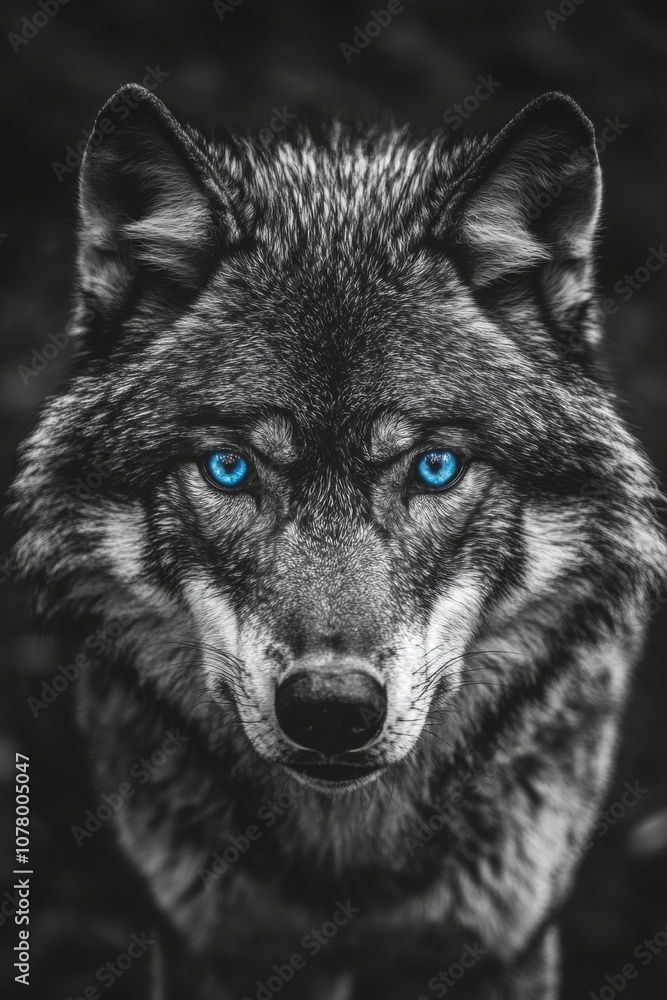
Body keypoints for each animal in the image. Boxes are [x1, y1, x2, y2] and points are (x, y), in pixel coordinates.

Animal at [11, 86, 665, 999]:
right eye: (228, 468)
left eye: (433, 467)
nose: (330, 710)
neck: (342, 857)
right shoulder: (208, 940)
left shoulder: (502, 937)